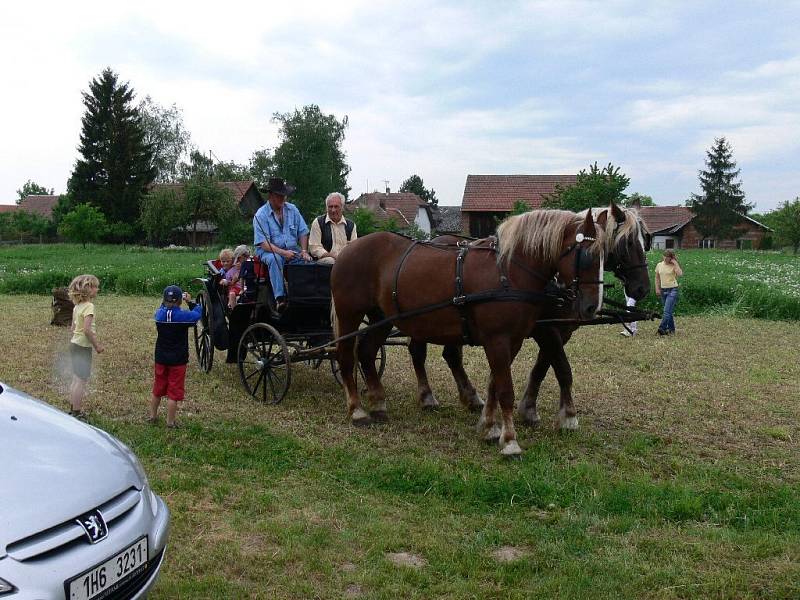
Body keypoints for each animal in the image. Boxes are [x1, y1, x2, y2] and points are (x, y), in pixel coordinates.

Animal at [332, 207, 608, 454]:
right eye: (586, 256)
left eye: (605, 256)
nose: (592, 307)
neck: (507, 272)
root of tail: (348, 250)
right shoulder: (499, 339)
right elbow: (506, 390)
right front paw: (510, 441)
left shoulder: (513, 340)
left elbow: (495, 384)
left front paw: (489, 428)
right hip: (350, 315)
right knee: (346, 356)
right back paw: (357, 410)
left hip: (383, 317)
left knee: (367, 352)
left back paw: (379, 403)